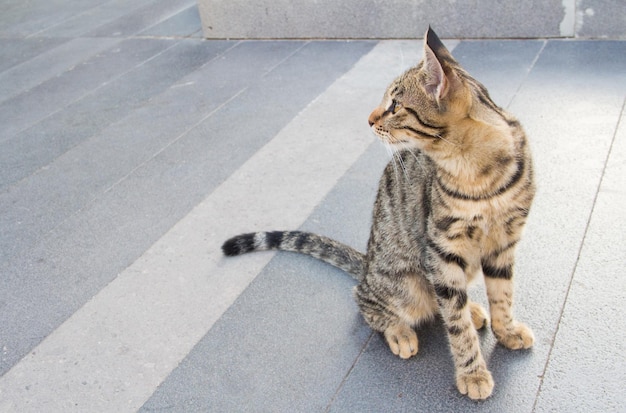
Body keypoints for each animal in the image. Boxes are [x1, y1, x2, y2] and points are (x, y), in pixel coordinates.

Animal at [219, 26, 532, 400]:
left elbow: (502, 295)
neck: (479, 171)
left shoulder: (505, 241)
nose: (369, 119)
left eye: (394, 105)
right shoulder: (442, 247)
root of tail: (368, 263)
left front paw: (506, 330)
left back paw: (469, 307)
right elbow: (458, 327)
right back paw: (401, 330)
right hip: (406, 282)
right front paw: (472, 373)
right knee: (370, 299)